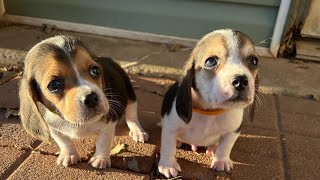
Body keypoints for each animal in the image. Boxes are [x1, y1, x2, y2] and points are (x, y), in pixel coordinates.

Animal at [19, 35, 149, 169]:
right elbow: (64, 141)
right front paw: (69, 155)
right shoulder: (53, 127)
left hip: (129, 93)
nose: (91, 98)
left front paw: (100, 159)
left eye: (95, 70)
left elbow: (103, 141)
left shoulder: (109, 122)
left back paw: (138, 132)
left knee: (132, 114)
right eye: (53, 85)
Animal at [159, 28, 258, 178]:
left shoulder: (233, 131)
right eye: (211, 61)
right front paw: (168, 165)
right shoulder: (170, 127)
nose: (241, 81)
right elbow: (167, 146)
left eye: (254, 61)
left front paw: (221, 161)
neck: (210, 111)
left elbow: (226, 146)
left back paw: (213, 148)